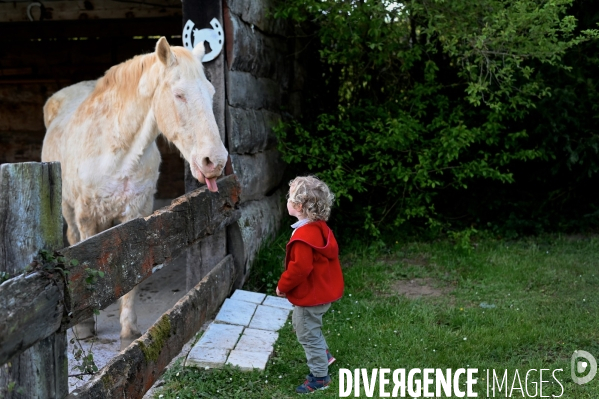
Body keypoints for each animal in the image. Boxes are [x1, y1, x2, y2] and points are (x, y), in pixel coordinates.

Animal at [41, 36, 230, 350]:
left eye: (211, 92)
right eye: (179, 95)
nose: (214, 162)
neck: (116, 150)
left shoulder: (135, 216)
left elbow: (132, 272)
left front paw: (129, 331)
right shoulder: (87, 216)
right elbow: (85, 268)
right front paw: (85, 326)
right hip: (68, 210)